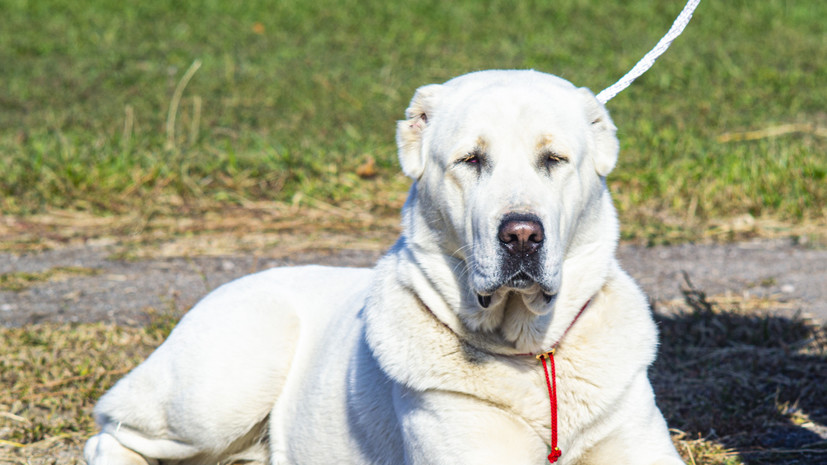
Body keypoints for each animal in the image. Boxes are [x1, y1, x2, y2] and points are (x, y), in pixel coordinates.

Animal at [84, 70, 684, 464]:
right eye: (471, 160)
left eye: (554, 159)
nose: (520, 235)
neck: (532, 354)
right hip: (223, 386)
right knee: (109, 433)